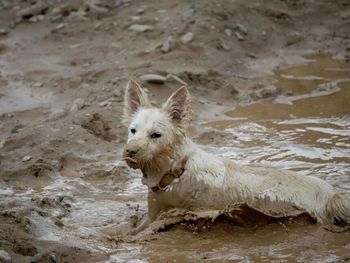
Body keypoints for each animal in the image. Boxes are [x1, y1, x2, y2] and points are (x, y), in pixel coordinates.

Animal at [122, 80, 350, 233]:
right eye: (133, 131)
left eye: (155, 135)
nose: (130, 152)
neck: (176, 171)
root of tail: (330, 195)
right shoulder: (153, 211)